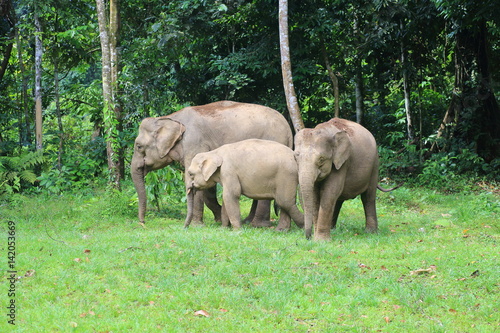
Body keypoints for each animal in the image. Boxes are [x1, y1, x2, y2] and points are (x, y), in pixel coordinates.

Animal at [131, 100, 292, 226]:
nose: (143, 222)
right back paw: (248, 221)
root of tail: (289, 129)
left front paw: (197, 225)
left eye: (138, 146)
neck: (169, 118)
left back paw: (258, 224)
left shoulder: (194, 142)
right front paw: (219, 219)